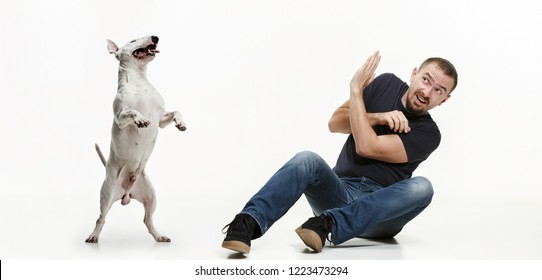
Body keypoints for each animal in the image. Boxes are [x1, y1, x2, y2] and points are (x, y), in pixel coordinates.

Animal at [85, 35, 187, 243]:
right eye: (133, 40)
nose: (155, 37)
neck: (140, 81)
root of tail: (126, 193)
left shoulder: (161, 119)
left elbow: (176, 111)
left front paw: (181, 123)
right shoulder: (120, 116)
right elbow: (132, 112)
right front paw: (140, 119)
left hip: (151, 196)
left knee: (147, 220)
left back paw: (159, 237)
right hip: (107, 195)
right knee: (101, 218)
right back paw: (93, 236)